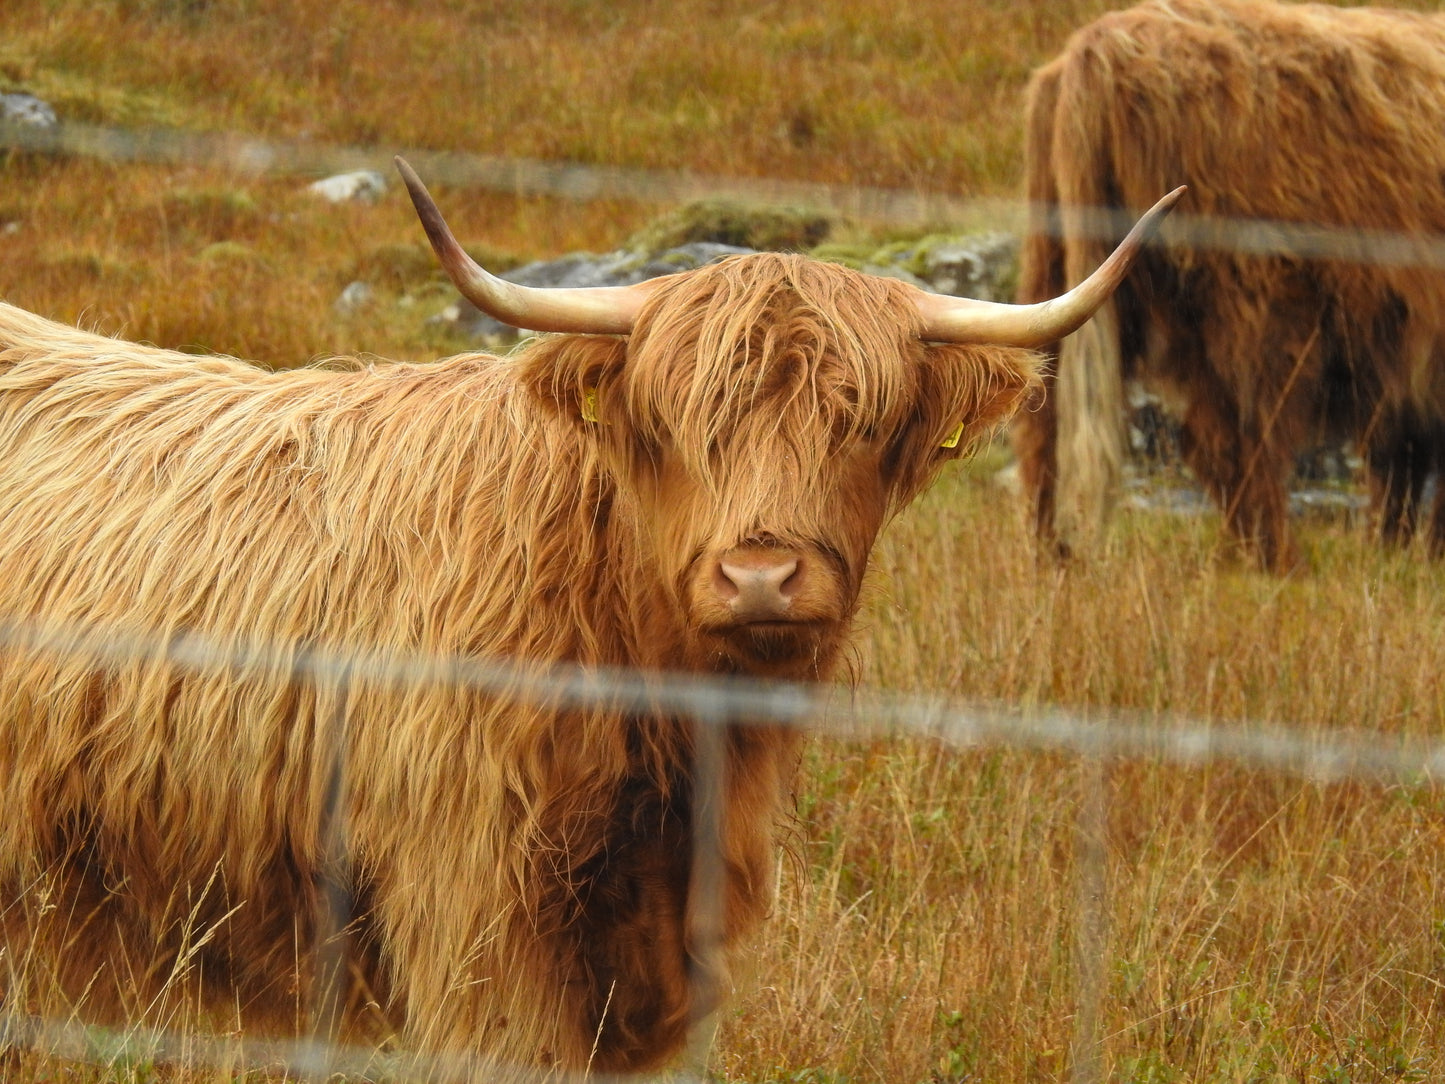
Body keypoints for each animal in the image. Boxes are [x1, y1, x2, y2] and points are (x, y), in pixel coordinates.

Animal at [1011, 0, 1445, 572]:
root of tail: (1099, 47)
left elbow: (1400, 462)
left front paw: (1397, 551)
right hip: (1258, 301)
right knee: (1239, 439)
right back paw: (1279, 560)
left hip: (1056, 270)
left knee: (1043, 422)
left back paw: (1049, 556)